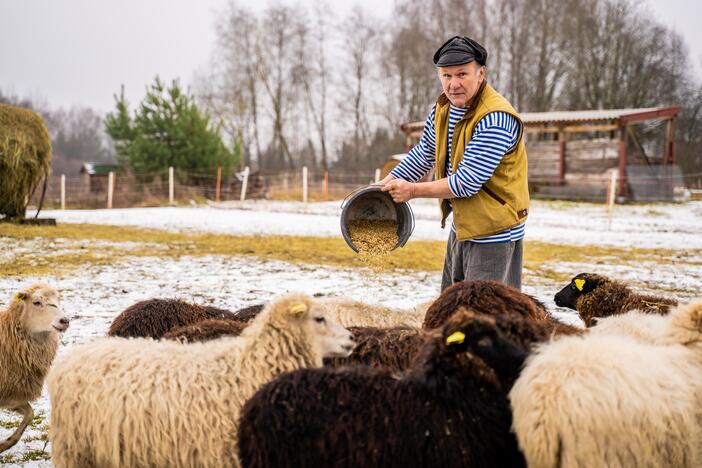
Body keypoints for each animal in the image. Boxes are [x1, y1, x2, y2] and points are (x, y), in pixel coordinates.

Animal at [0, 284, 69, 452]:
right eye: (36, 302)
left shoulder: (12, 392)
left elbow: (30, 414)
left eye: (58, 300)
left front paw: (5, 444)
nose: (64, 320)